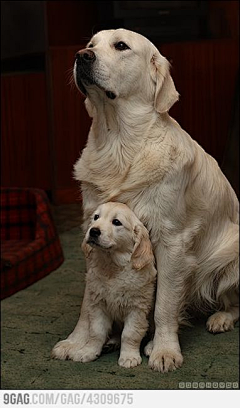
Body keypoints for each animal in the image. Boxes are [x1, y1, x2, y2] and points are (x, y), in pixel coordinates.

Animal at [51, 202, 157, 368]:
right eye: (96, 217)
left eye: (116, 222)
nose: (93, 231)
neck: (111, 266)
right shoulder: (98, 305)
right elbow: (96, 332)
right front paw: (88, 351)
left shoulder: (137, 308)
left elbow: (130, 334)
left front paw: (129, 357)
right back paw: (110, 343)